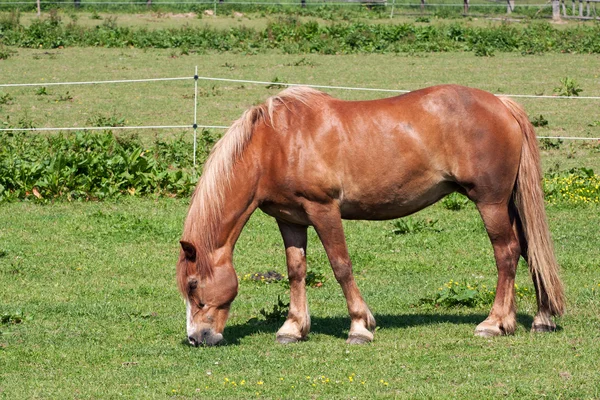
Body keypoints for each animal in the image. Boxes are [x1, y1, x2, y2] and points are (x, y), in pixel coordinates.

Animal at [176, 85, 564, 346]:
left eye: (193, 285)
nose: (197, 337)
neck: (275, 143)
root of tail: (502, 104)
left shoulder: (323, 210)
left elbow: (341, 266)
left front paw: (360, 326)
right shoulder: (291, 219)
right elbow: (296, 271)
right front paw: (293, 328)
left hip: (491, 203)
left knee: (507, 253)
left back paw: (494, 323)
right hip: (508, 204)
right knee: (528, 250)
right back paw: (539, 318)